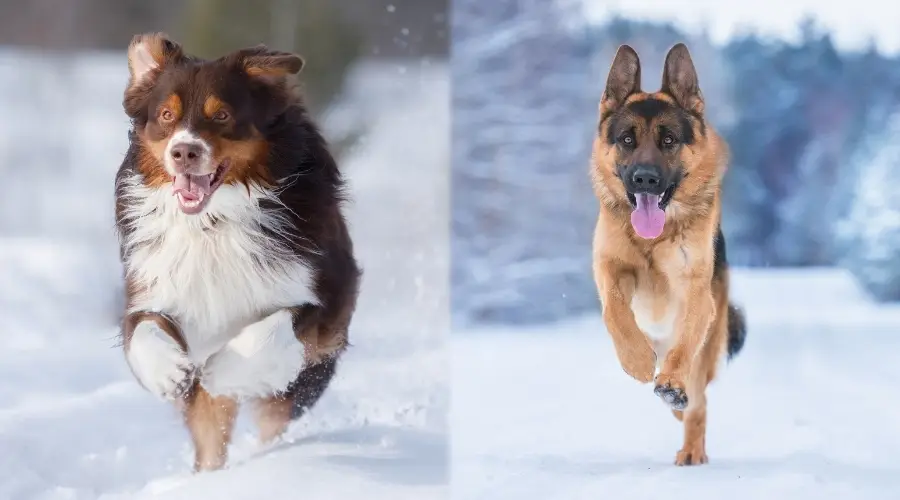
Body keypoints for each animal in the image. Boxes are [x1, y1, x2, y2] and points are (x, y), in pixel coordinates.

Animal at [114, 32, 360, 472]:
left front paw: (225, 370)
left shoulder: (325, 299)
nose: (184, 152)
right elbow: (142, 327)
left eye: (223, 115)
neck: (213, 223)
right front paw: (167, 371)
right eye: (165, 115)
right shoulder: (153, 284)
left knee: (273, 416)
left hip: (305, 382)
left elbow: (275, 329)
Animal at [592, 43, 744, 464]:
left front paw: (671, 384)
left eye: (669, 140)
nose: (645, 178)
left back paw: (689, 442)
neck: (653, 241)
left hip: (708, 345)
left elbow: (683, 350)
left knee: (698, 402)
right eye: (627, 140)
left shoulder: (695, 295)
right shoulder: (609, 269)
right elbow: (615, 314)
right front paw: (637, 361)